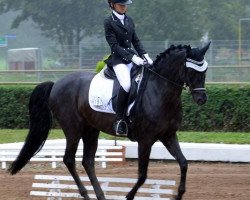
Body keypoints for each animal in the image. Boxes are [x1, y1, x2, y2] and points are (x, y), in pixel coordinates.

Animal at [8, 42, 210, 200]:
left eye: (205, 71)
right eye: (190, 70)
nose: (202, 99)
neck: (159, 91)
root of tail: (56, 84)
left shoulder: (168, 136)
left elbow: (184, 163)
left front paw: (179, 194)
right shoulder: (145, 140)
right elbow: (142, 175)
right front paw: (128, 196)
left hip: (91, 130)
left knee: (87, 161)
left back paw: (100, 195)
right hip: (73, 129)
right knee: (69, 160)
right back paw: (86, 194)